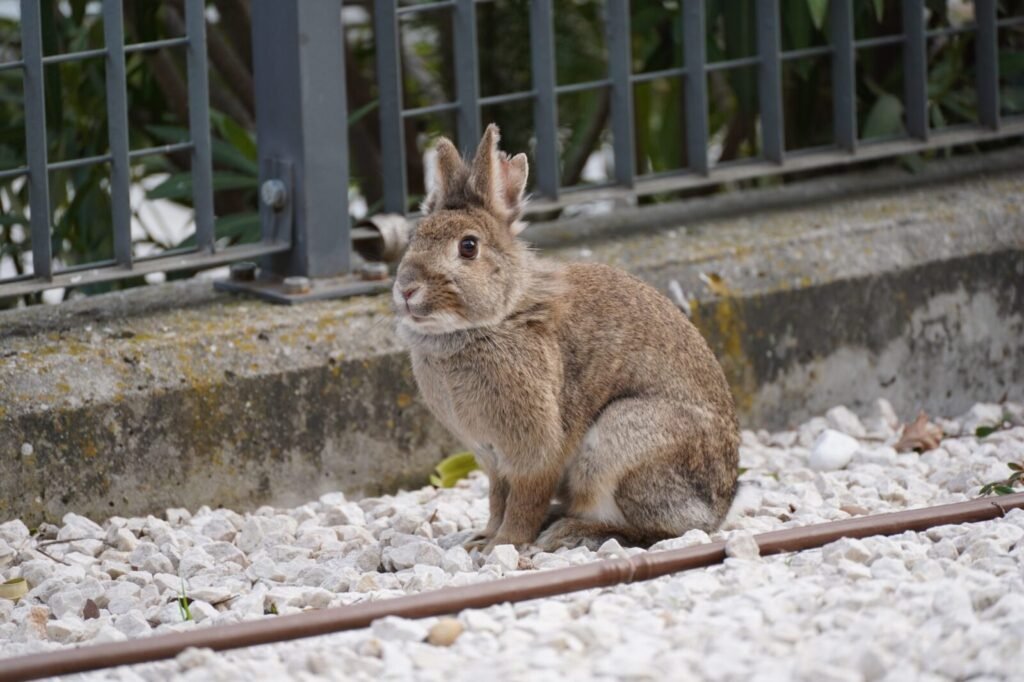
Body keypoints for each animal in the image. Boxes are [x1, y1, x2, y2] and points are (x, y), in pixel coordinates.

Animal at [394, 124, 739, 553]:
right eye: (414, 238)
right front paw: (482, 540)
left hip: (621, 443)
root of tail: (717, 510)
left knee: (659, 528)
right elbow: (497, 498)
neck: (497, 317)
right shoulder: (493, 459)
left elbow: (522, 501)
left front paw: (504, 545)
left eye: (468, 247)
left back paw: (569, 532)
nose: (407, 289)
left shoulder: (536, 451)